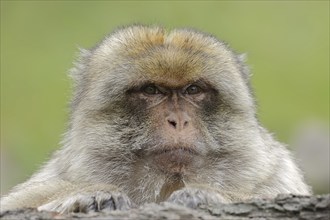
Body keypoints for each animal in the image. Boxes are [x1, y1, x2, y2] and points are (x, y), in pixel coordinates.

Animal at [0, 24, 310, 214]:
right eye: (151, 90)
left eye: (193, 90)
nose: (178, 121)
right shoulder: (57, 176)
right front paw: (87, 197)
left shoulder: (277, 173)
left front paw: (204, 195)